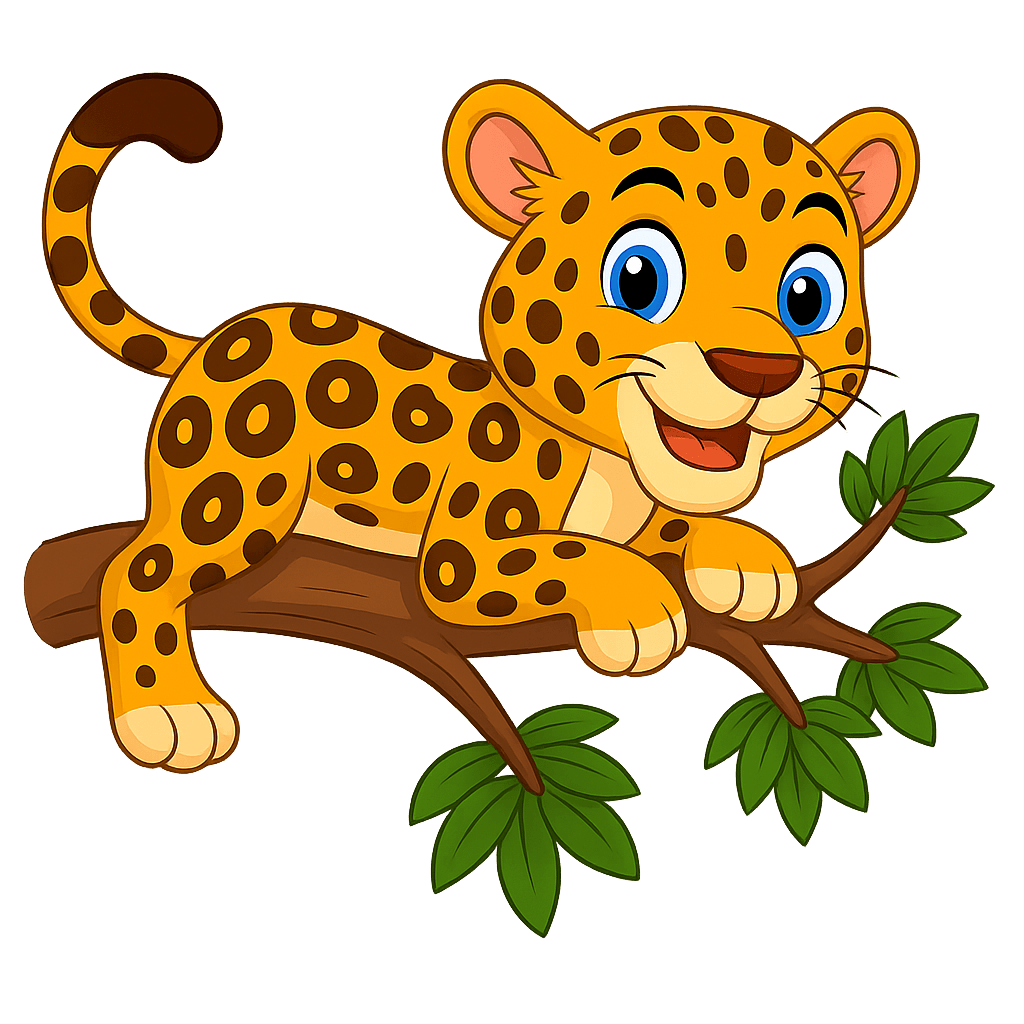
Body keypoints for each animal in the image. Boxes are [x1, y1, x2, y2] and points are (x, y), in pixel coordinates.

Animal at [42, 73, 919, 772]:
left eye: (809, 294)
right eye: (639, 277)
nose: (756, 370)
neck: (610, 467)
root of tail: (216, 337)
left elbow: (675, 523)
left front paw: (744, 557)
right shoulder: (463, 558)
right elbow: (563, 552)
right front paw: (636, 608)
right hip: (235, 496)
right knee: (138, 571)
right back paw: (169, 711)